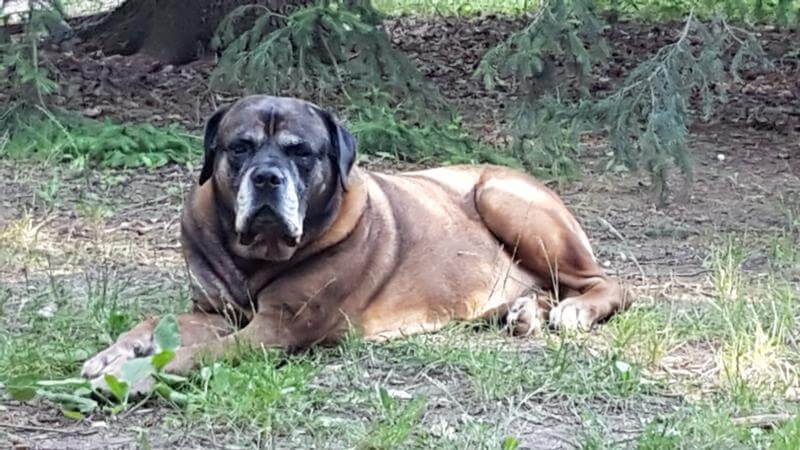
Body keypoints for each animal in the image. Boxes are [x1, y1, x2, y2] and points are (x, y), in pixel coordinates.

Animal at [83, 96, 632, 390]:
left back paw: (574, 311)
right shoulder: (217, 310)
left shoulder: (278, 328)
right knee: (545, 290)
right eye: (239, 147)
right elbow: (157, 322)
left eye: (300, 153)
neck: (254, 257)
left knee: (608, 284)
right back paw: (524, 312)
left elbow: (201, 353)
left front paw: (134, 374)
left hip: (504, 198)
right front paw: (114, 354)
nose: (266, 177)